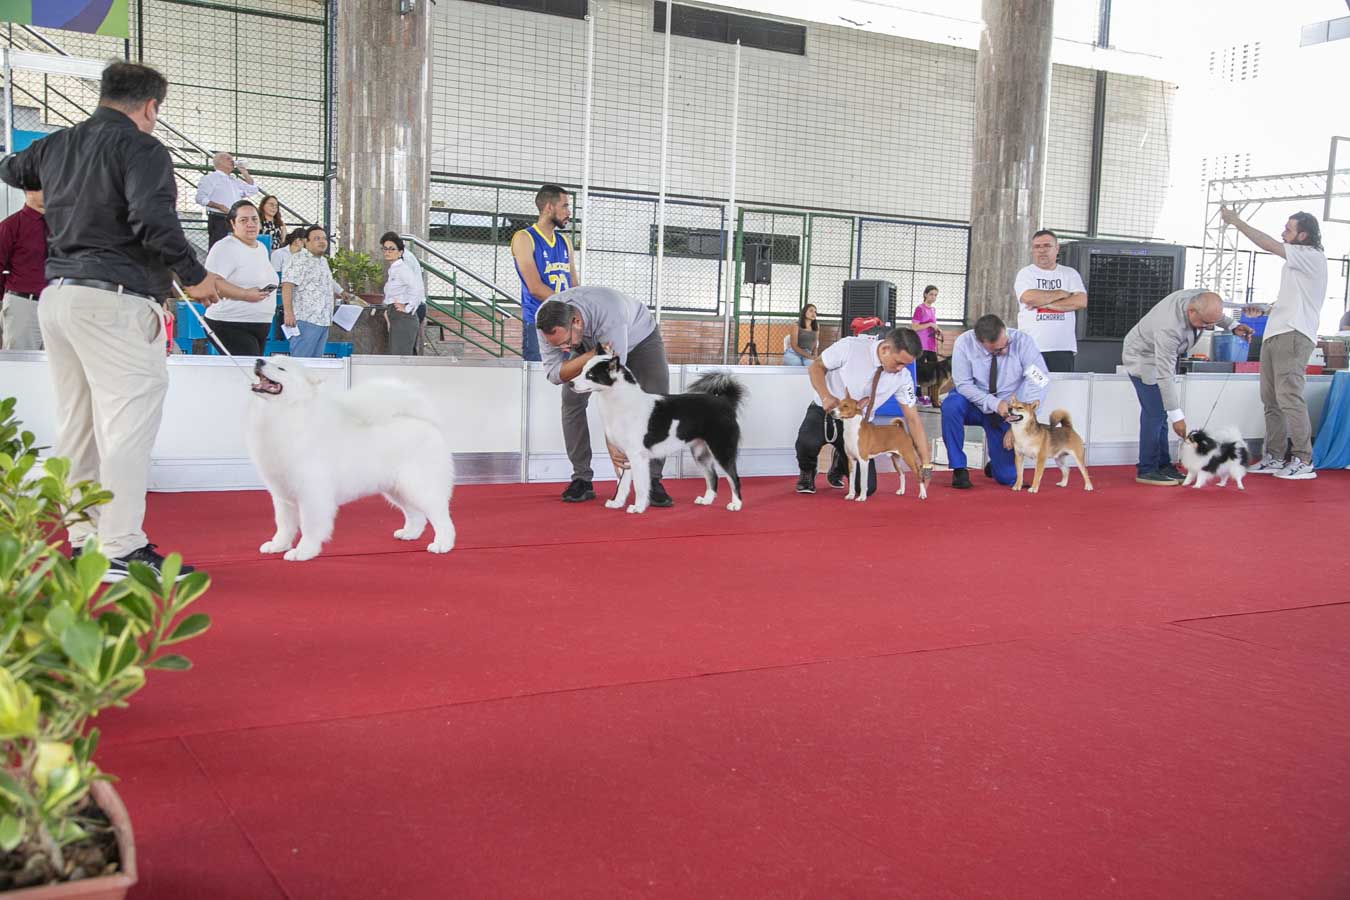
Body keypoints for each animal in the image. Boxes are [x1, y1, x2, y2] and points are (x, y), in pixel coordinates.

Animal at [247, 358, 455, 560]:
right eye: (270, 358)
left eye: (281, 368)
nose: (258, 360)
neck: (286, 415)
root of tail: (427, 423)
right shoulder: (283, 496)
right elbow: (284, 526)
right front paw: (277, 546)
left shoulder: (312, 495)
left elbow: (309, 527)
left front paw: (303, 552)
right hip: (398, 490)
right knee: (416, 515)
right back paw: (409, 534)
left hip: (419, 487)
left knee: (442, 518)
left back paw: (442, 544)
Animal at [569, 354, 745, 513]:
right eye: (582, 370)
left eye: (590, 375)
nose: (570, 383)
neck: (622, 402)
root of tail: (725, 402)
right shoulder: (625, 457)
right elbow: (623, 485)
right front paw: (617, 503)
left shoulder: (637, 456)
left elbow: (639, 486)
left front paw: (638, 508)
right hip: (700, 453)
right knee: (712, 476)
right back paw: (706, 500)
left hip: (722, 450)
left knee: (733, 478)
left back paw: (736, 504)